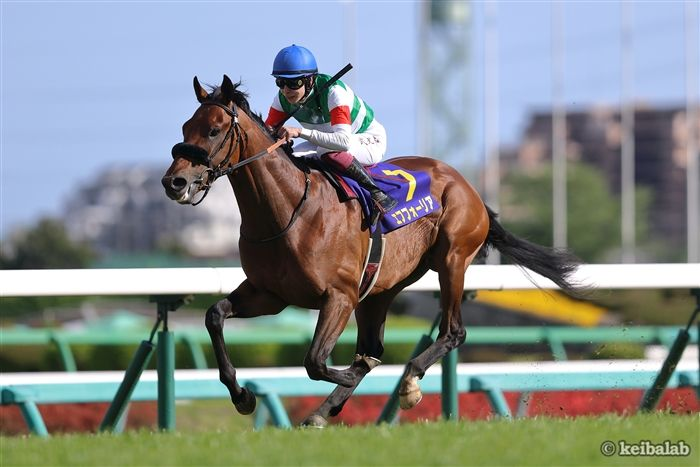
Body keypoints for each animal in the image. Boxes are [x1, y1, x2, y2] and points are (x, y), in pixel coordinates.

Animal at [161, 75, 580, 427]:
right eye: (184, 128)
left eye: (214, 129)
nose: (174, 182)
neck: (289, 211)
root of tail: (467, 185)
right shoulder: (270, 294)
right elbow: (214, 316)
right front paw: (243, 396)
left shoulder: (339, 296)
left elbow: (315, 360)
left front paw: (347, 376)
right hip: (380, 289)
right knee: (374, 347)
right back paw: (326, 409)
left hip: (452, 259)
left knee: (452, 332)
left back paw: (407, 384)